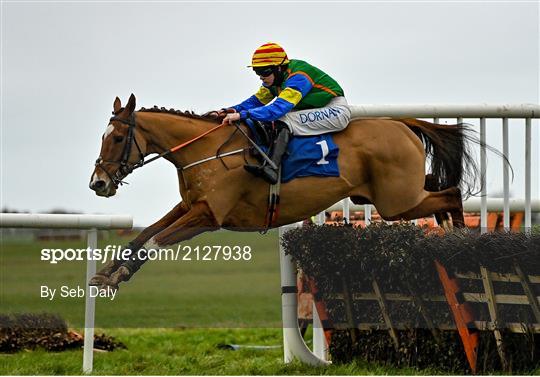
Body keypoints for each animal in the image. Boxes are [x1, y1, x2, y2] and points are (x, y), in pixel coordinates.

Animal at [89, 94, 480, 288]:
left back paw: (461, 241)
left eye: (119, 138)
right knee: (439, 188)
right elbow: (145, 234)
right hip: (389, 195)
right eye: (103, 136)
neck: (205, 149)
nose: (98, 183)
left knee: (451, 193)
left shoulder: (209, 215)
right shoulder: (189, 206)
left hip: (396, 202)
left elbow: (156, 239)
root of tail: (402, 124)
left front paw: (118, 276)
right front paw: (106, 272)